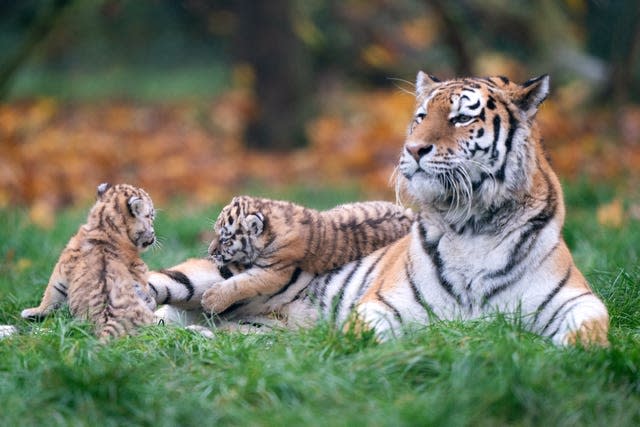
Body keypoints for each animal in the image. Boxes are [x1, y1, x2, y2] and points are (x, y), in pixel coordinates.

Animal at [150, 72, 608, 348]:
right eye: (421, 116)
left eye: (461, 118)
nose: (414, 149)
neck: (474, 224)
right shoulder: (380, 304)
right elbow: (365, 335)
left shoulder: (576, 300)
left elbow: (590, 333)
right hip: (187, 279)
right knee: (152, 292)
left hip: (249, 326)